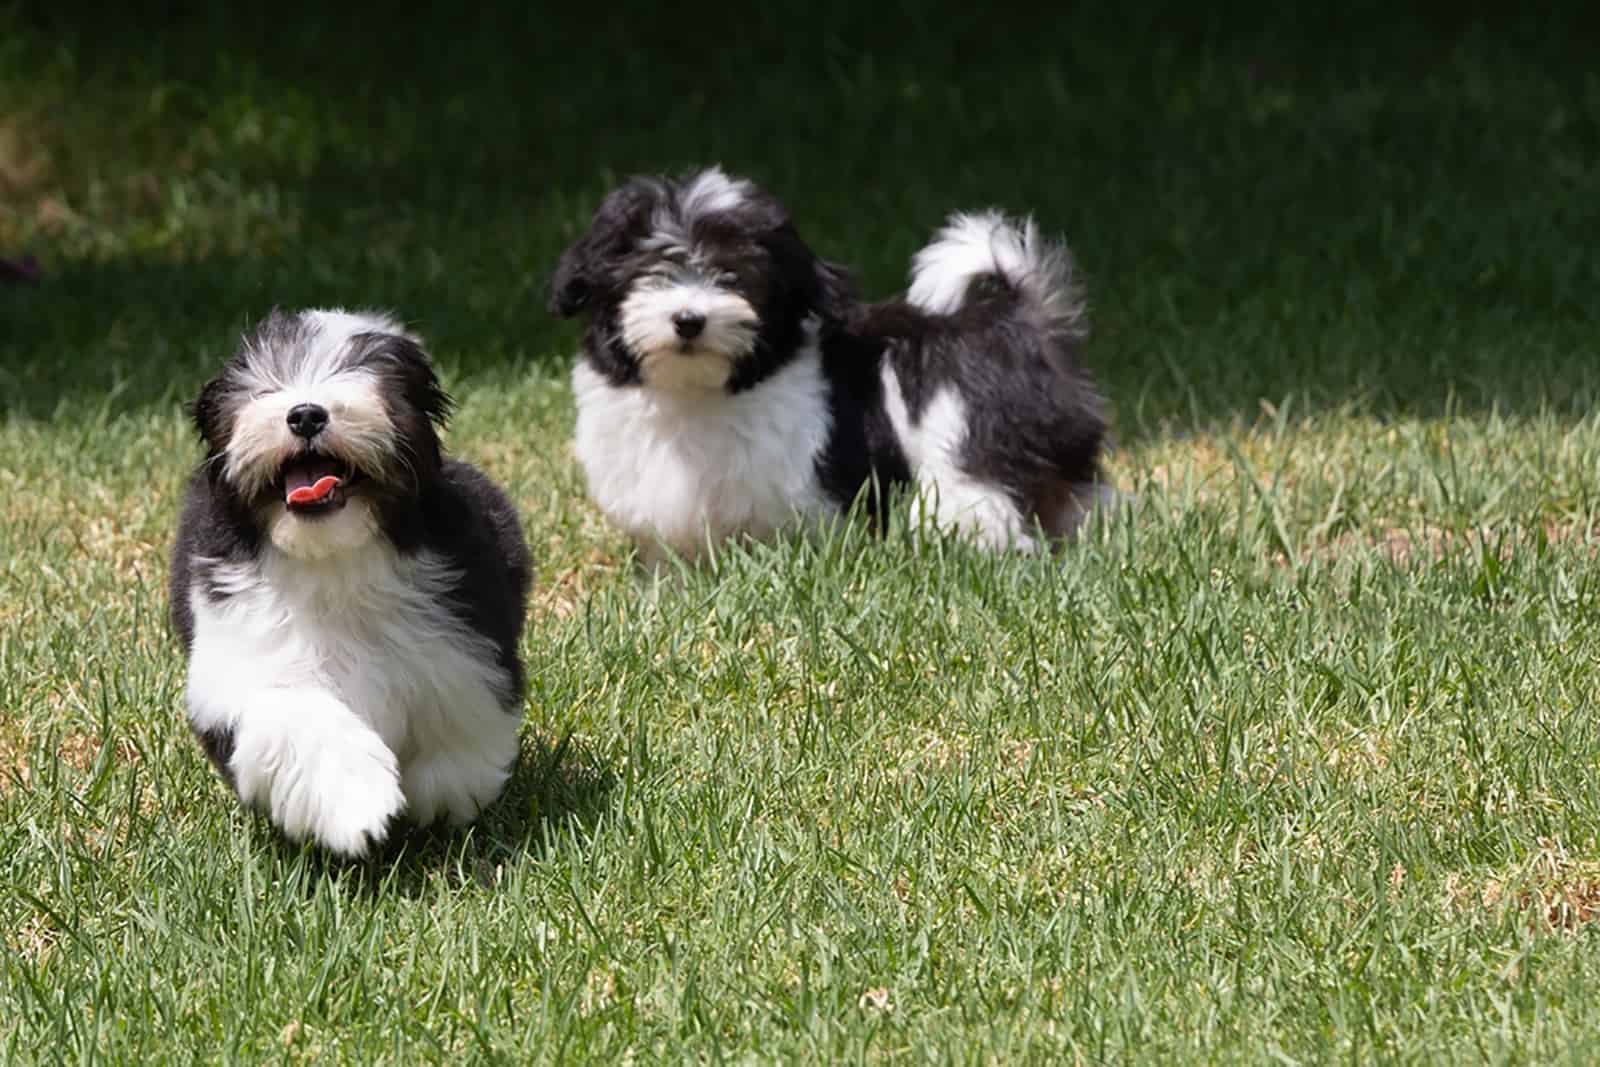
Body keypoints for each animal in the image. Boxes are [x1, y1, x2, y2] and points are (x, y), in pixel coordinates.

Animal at [169, 308, 531, 857]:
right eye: (264, 384)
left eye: (365, 374)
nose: (305, 414)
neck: (333, 559)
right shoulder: (241, 655)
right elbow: (297, 715)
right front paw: (357, 804)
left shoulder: (464, 645)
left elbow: (461, 729)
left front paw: (442, 802)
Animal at [550, 167, 1113, 559]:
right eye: (648, 271)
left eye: (737, 277)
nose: (689, 319)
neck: (695, 391)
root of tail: (1016, 313)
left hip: (967, 435)